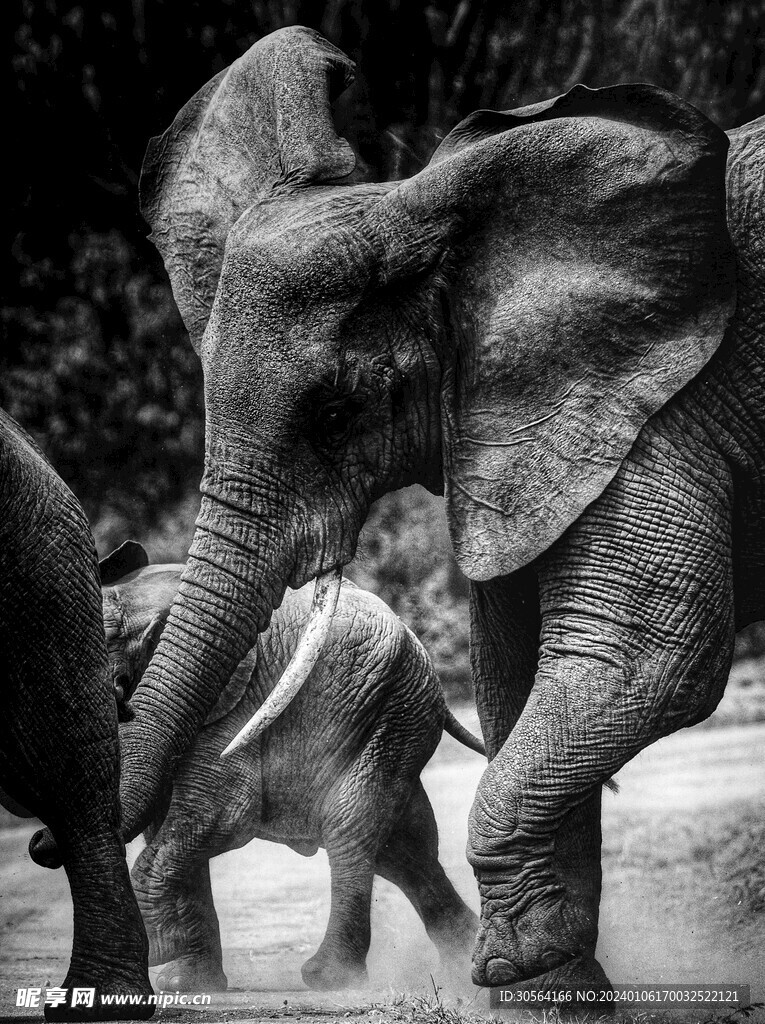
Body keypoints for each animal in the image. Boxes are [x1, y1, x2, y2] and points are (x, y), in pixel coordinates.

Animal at [99, 541, 483, 992]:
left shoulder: (239, 702)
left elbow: (222, 814)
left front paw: (161, 951)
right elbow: (166, 821)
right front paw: (184, 982)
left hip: (396, 710)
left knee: (350, 824)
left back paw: (331, 978)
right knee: (403, 847)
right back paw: (463, 961)